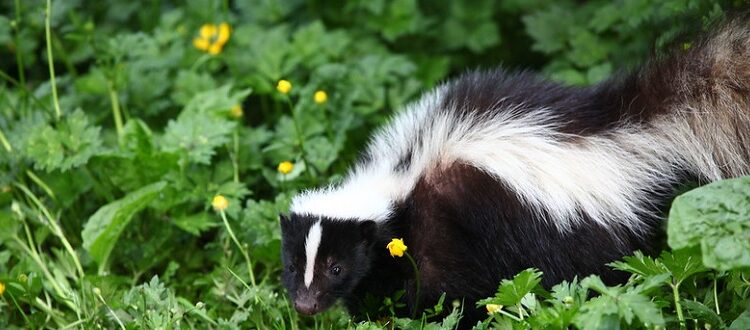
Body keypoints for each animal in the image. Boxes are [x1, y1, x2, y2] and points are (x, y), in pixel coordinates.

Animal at [280, 18, 750, 324]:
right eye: (292, 263)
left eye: (336, 267)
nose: (305, 306)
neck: (401, 179)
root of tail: (623, 130)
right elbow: (379, 283)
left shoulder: (446, 226)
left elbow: (443, 288)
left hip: (575, 235)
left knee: (600, 274)